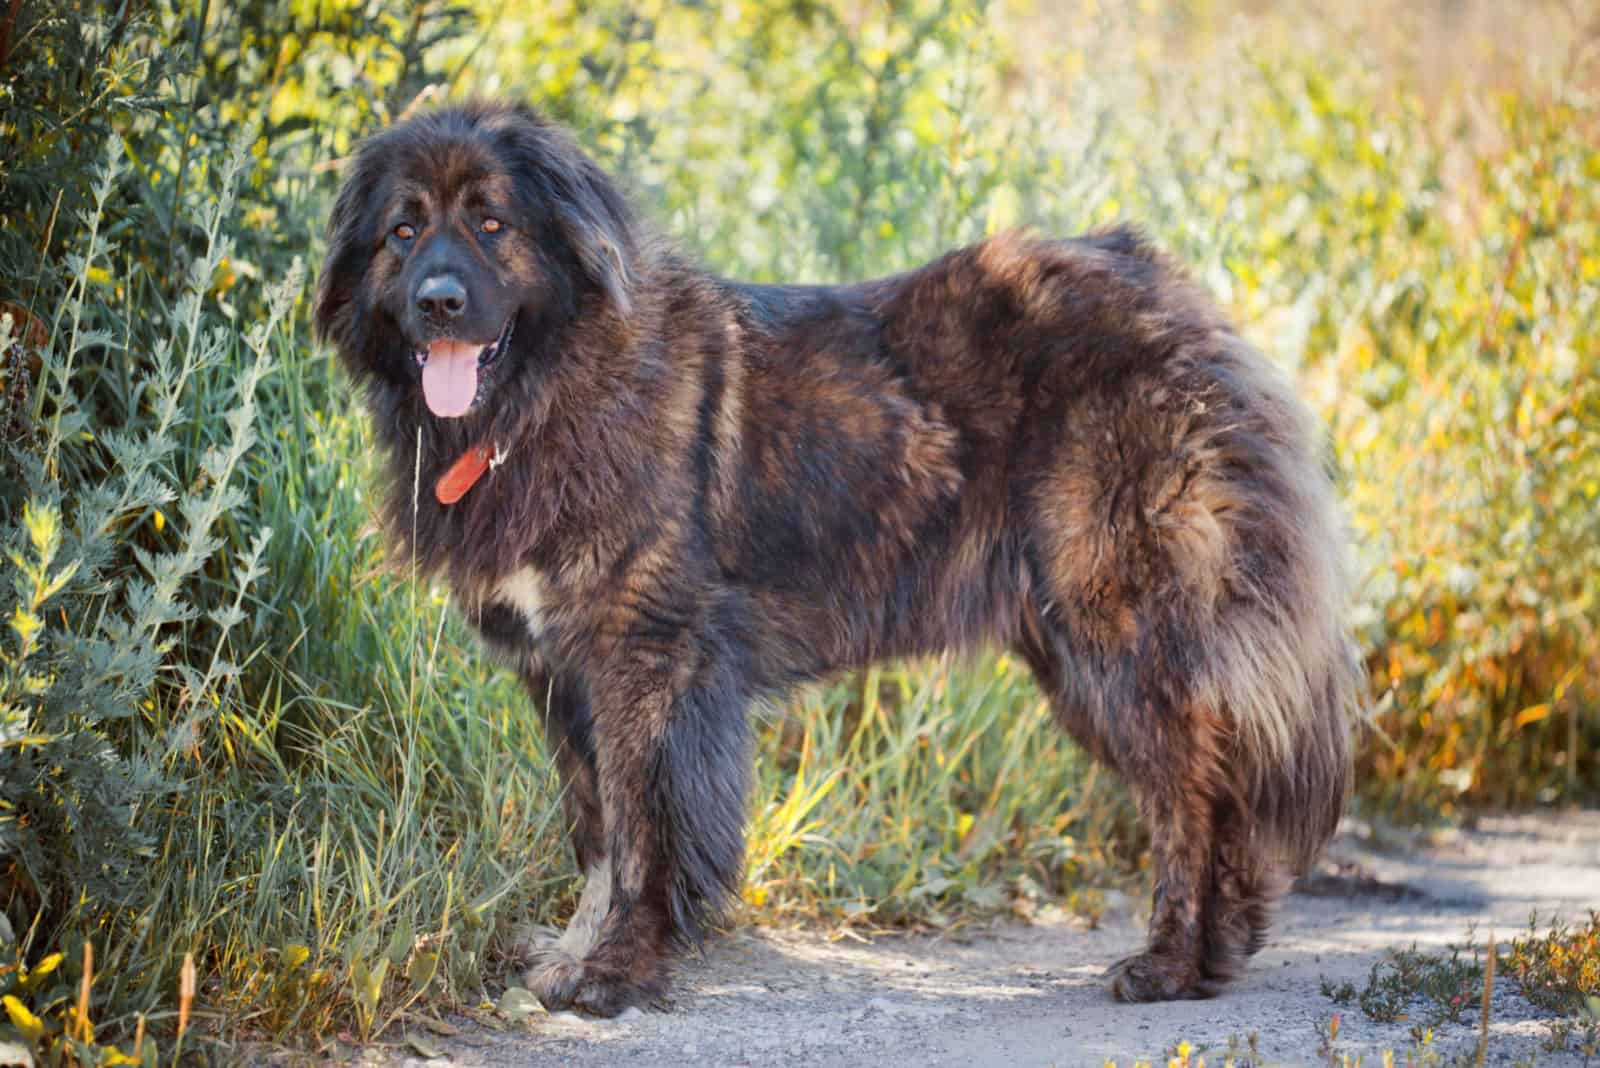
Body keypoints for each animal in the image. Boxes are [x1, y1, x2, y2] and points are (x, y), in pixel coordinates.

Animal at [318, 99, 1356, 1016]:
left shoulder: (647, 661)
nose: (439, 302)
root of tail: (1170, 292)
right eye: (403, 231)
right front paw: (575, 958)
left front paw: (616, 973)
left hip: (1122, 635)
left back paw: (1170, 965)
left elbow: (643, 834)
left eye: (492, 223)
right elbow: (596, 834)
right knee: (1221, 796)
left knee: (1192, 798)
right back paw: (1215, 955)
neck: (545, 395)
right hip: (1079, 652)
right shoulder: (560, 673)